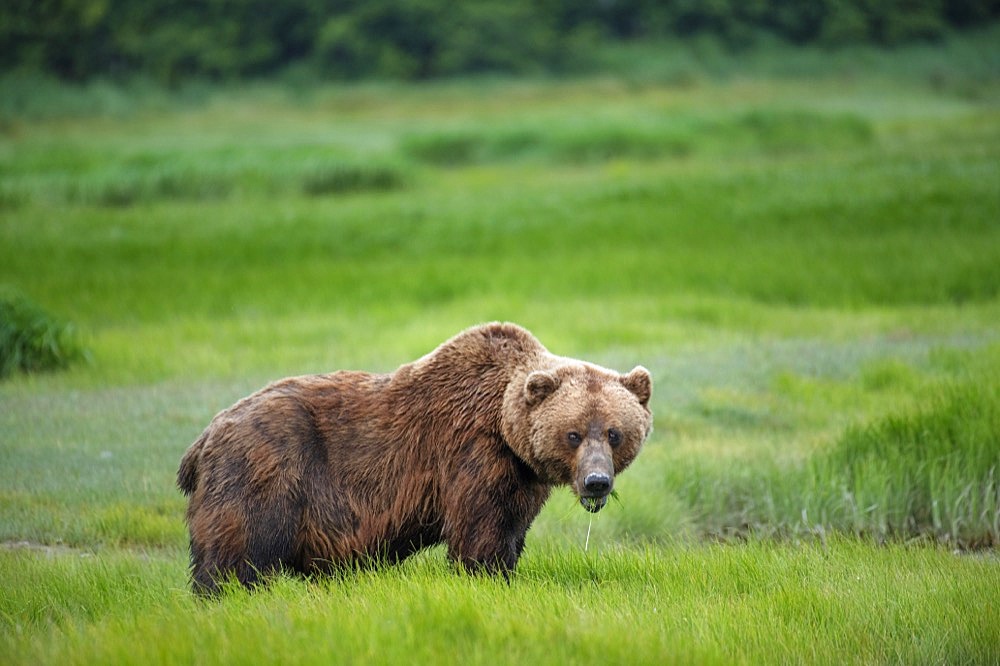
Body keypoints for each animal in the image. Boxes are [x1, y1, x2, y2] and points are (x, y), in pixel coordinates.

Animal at [177, 322, 652, 592]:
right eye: (573, 434)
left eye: (614, 433)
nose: (596, 482)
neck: (505, 425)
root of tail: (202, 440)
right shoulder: (472, 452)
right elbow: (480, 531)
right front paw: (486, 578)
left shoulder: (522, 476)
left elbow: (512, 527)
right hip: (264, 468)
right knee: (237, 550)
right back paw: (222, 593)